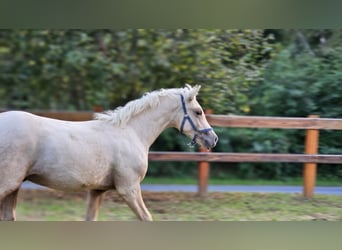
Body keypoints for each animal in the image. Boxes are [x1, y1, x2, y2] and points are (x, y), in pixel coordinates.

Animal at [0, 84, 218, 221]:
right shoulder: (128, 188)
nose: (213, 139)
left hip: (15, 186)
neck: (132, 132)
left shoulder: (97, 190)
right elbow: (146, 217)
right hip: (9, 183)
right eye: (198, 111)